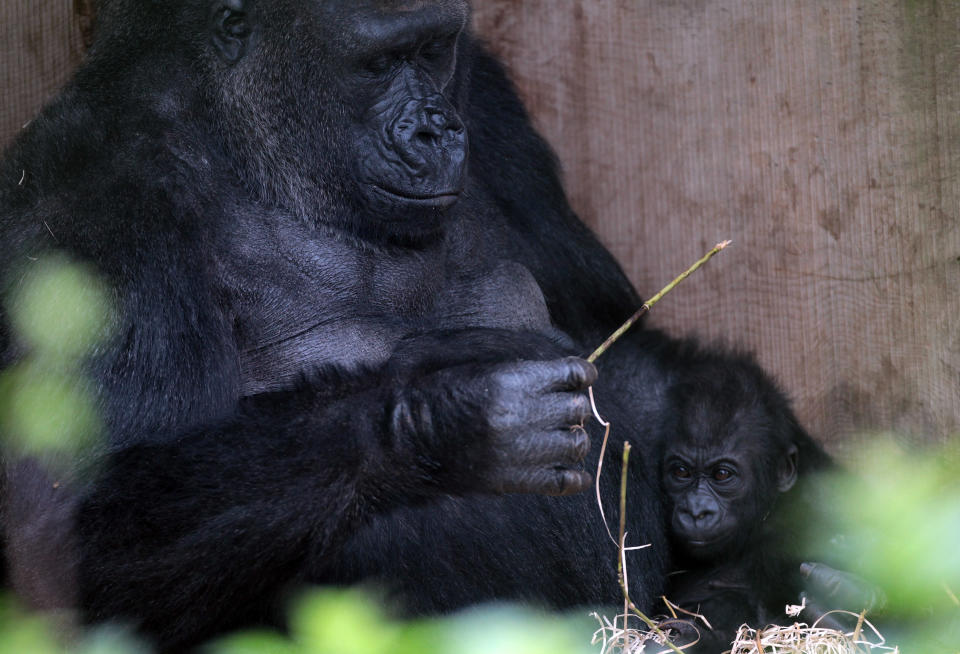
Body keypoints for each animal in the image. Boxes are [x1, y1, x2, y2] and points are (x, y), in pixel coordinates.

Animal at [0, 0, 668, 652]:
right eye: (378, 64)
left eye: (433, 49)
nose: (436, 128)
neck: (235, 131)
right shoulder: (97, 192)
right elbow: (77, 539)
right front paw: (448, 414)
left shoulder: (489, 101)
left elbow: (620, 342)